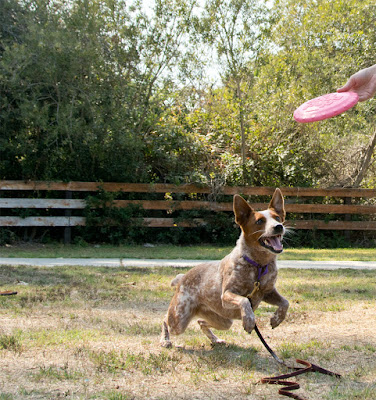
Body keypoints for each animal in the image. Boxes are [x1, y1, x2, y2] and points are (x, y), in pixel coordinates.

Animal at [160, 188, 290, 346]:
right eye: (259, 221)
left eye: (277, 218)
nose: (279, 226)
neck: (258, 266)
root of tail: (183, 277)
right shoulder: (227, 294)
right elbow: (244, 301)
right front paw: (249, 320)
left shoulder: (267, 292)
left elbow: (285, 302)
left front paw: (277, 319)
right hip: (179, 319)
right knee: (165, 320)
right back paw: (165, 340)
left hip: (224, 321)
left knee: (201, 322)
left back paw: (215, 339)